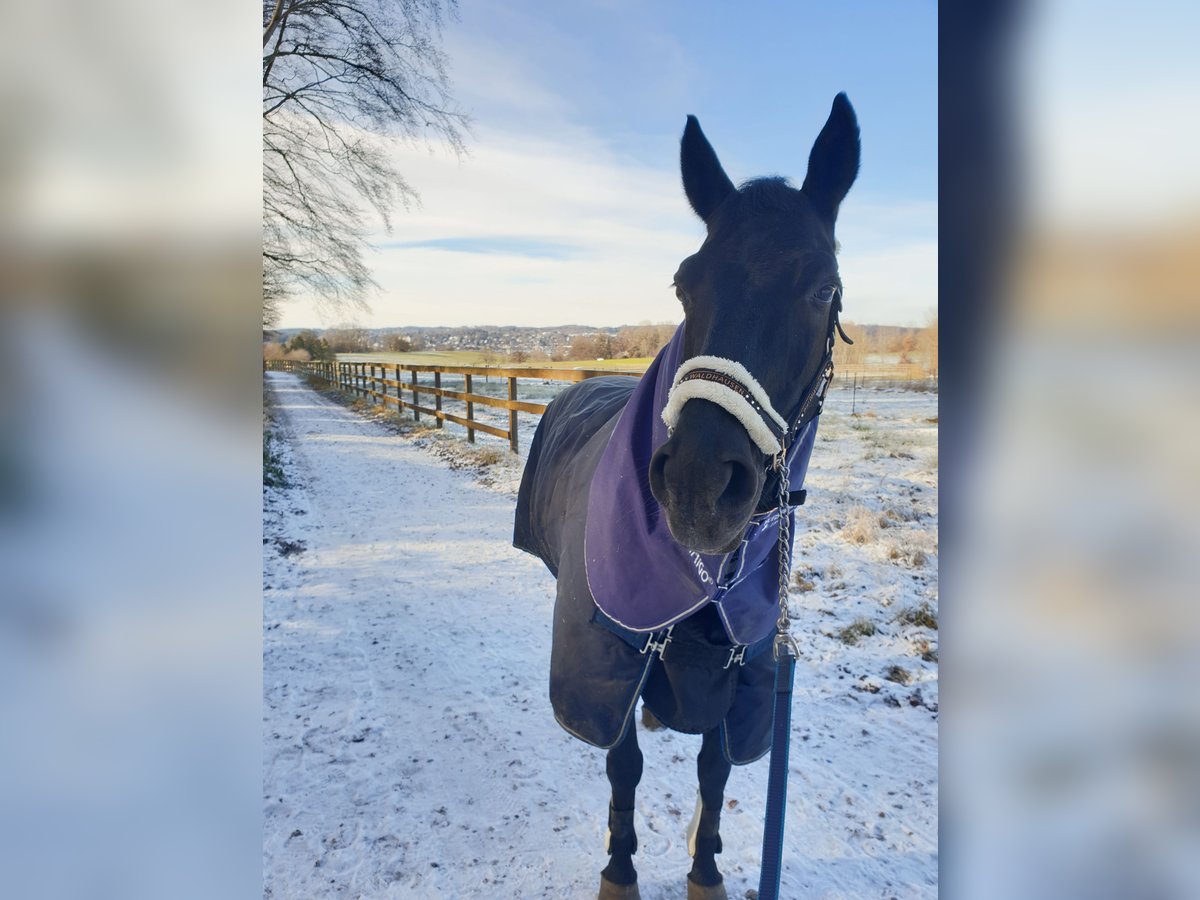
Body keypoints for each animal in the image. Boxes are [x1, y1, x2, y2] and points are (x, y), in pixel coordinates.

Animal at [511, 95, 859, 897]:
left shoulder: (746, 667)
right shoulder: (611, 652)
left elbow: (715, 769)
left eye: (824, 288)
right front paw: (620, 869)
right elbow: (623, 765)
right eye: (683, 283)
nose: (699, 484)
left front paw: (705, 868)